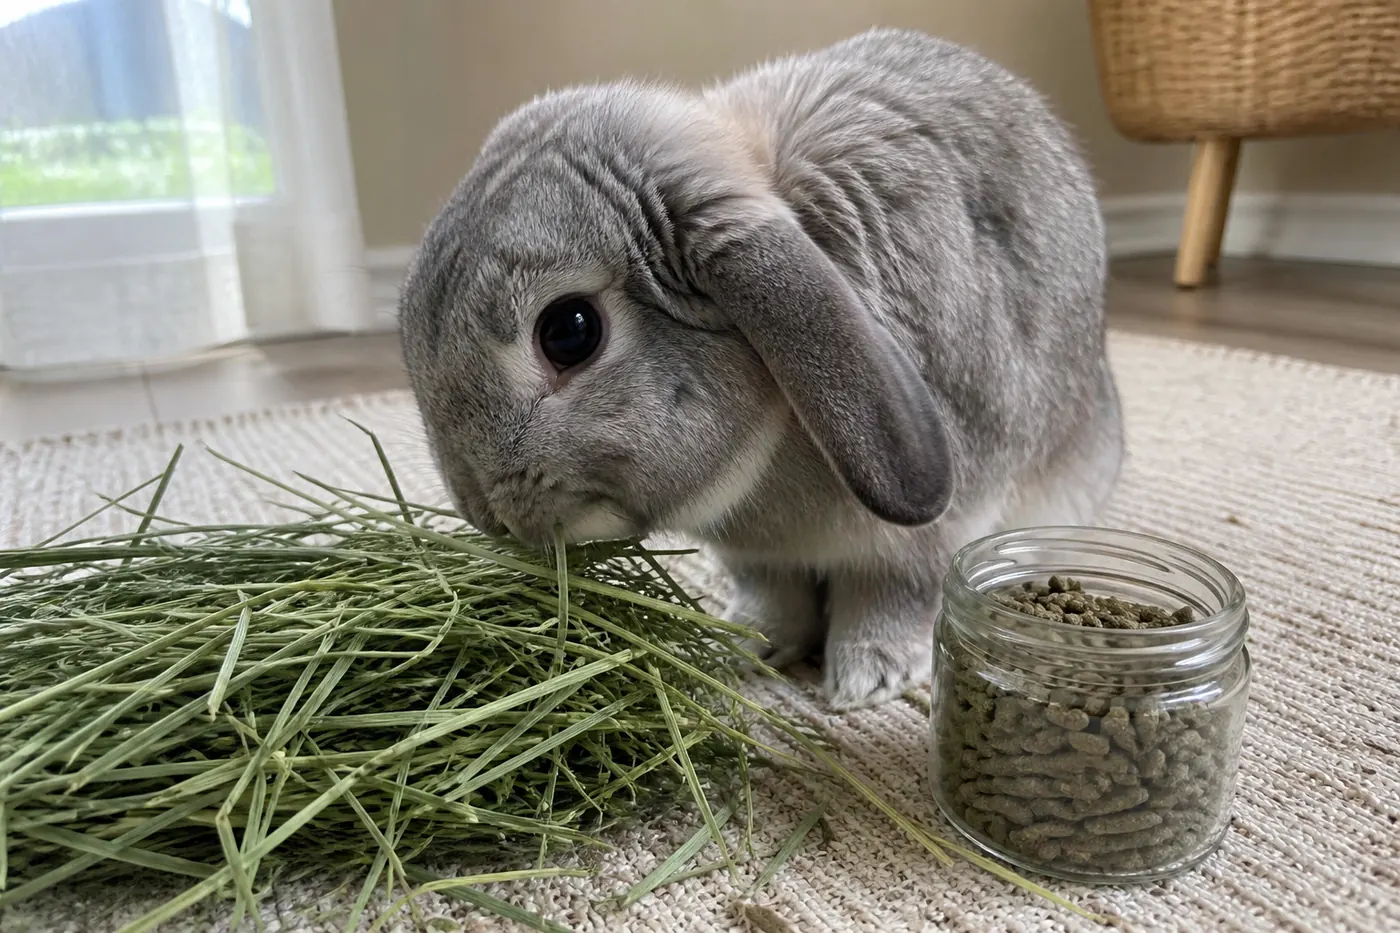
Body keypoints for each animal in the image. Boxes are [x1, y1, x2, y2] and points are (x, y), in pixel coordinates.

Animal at [397, 28, 1124, 710]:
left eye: (569, 332)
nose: (489, 516)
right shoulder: (757, 556)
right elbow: (776, 595)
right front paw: (746, 647)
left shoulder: (930, 534)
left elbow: (894, 594)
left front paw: (866, 678)